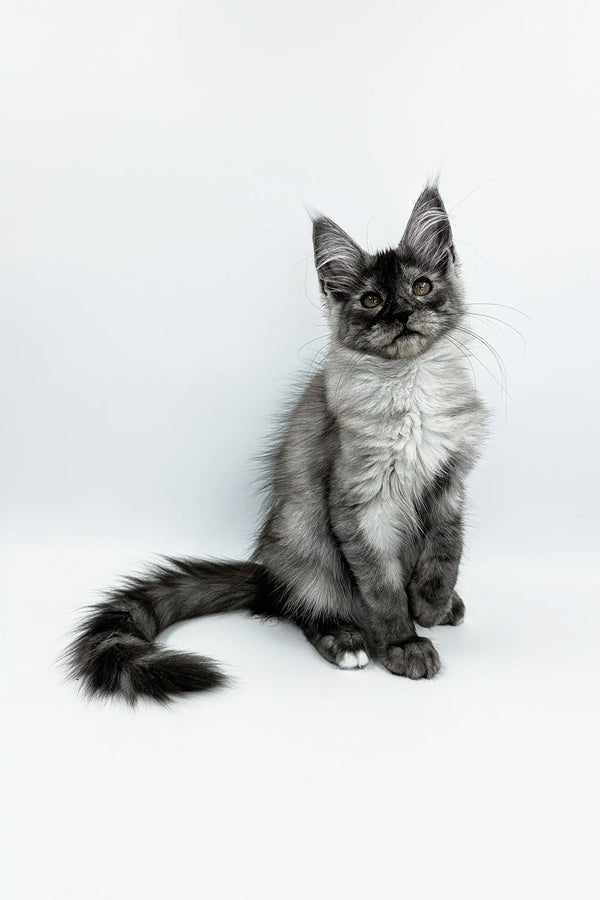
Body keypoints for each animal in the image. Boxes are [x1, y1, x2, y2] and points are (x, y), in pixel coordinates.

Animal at [67, 183, 488, 704]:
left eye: (422, 287)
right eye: (371, 300)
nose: (403, 313)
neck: (410, 387)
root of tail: (268, 575)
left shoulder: (450, 479)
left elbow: (446, 552)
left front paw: (431, 603)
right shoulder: (361, 503)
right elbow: (383, 588)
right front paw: (404, 643)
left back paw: (448, 607)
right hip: (305, 538)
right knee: (306, 610)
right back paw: (346, 640)